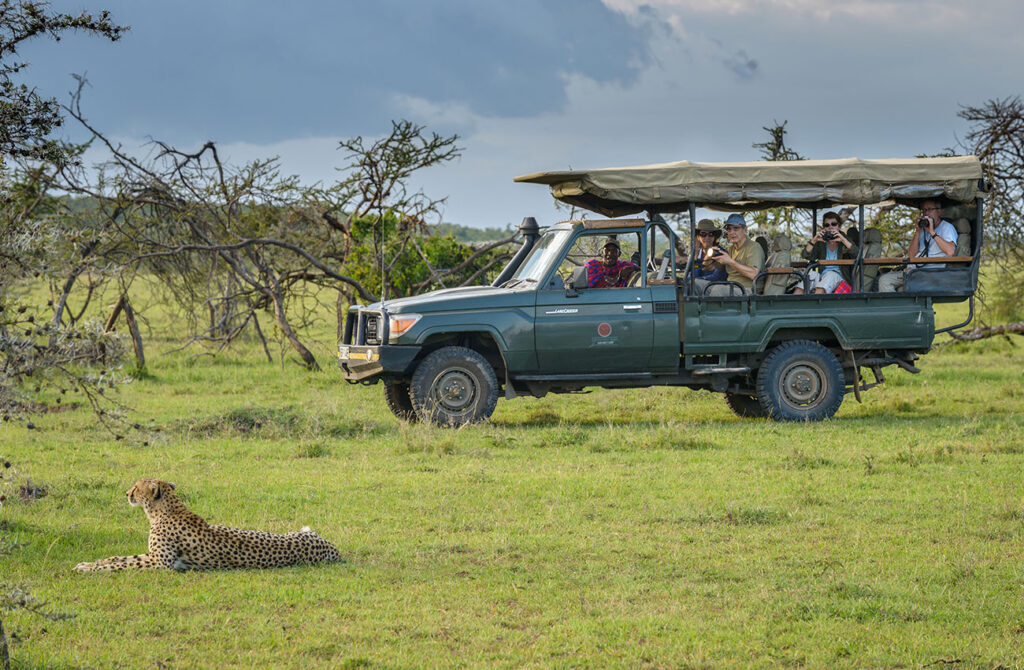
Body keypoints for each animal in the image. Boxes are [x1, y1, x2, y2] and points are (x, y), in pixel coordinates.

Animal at [73, 478, 343, 572]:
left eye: (137, 486)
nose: (127, 492)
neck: (164, 510)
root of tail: (334, 550)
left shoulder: (160, 563)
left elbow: (123, 563)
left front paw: (88, 569)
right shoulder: (153, 556)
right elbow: (117, 558)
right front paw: (87, 563)